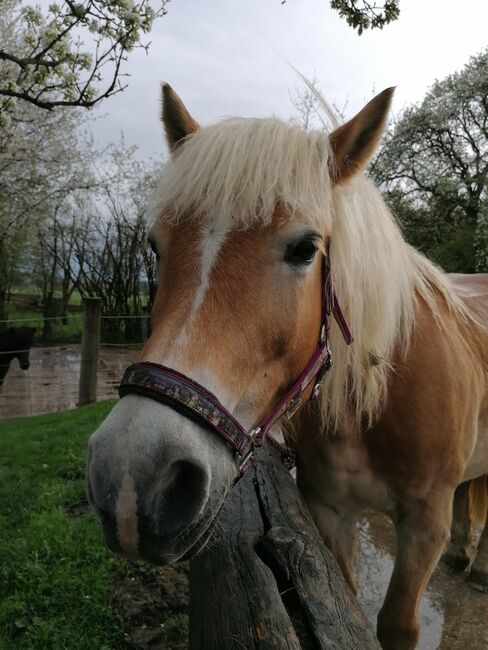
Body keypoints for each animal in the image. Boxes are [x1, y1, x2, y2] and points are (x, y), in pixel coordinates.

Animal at [87, 85, 488, 648]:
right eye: (154, 246)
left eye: (305, 248)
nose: (130, 479)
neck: (375, 401)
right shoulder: (329, 511)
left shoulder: (423, 523)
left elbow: (396, 624)